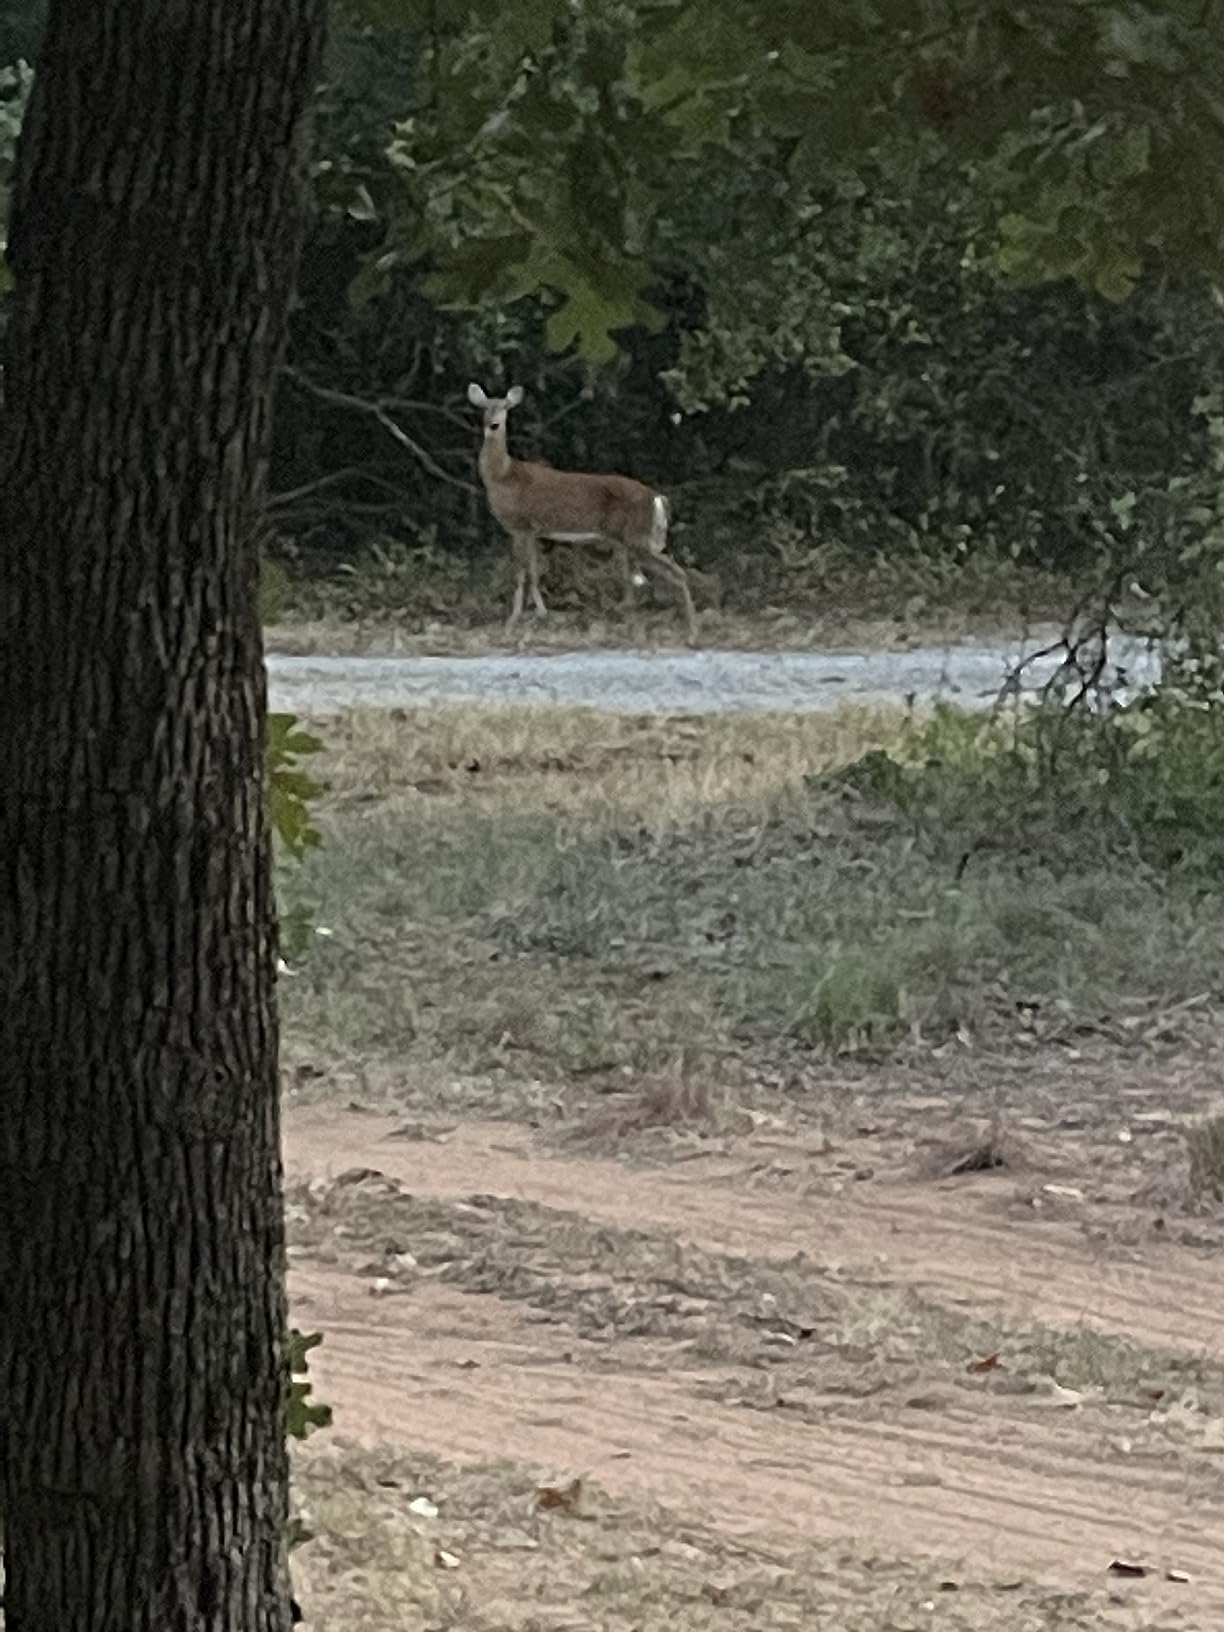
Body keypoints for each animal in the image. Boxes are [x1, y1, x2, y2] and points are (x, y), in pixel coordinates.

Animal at [466, 382, 698, 642]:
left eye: (505, 407)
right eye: (485, 407)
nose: (493, 424)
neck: (503, 476)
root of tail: (656, 497)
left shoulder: (520, 526)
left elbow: (521, 573)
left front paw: (514, 622)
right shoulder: (533, 531)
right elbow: (534, 571)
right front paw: (539, 615)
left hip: (635, 537)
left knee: (676, 574)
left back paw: (691, 633)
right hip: (634, 541)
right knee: (656, 578)